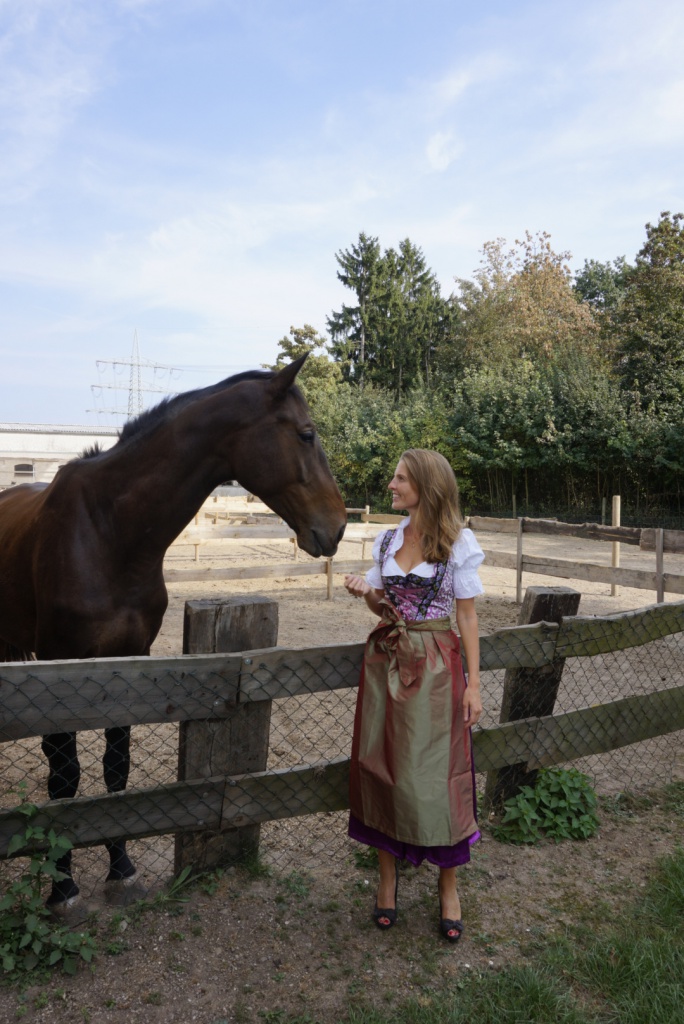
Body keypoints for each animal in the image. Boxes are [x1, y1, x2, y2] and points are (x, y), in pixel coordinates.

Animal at [0, 354, 344, 913]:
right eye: (306, 433)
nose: (336, 527)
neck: (107, 532)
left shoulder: (131, 660)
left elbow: (116, 770)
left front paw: (120, 870)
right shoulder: (58, 665)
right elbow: (65, 779)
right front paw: (63, 887)